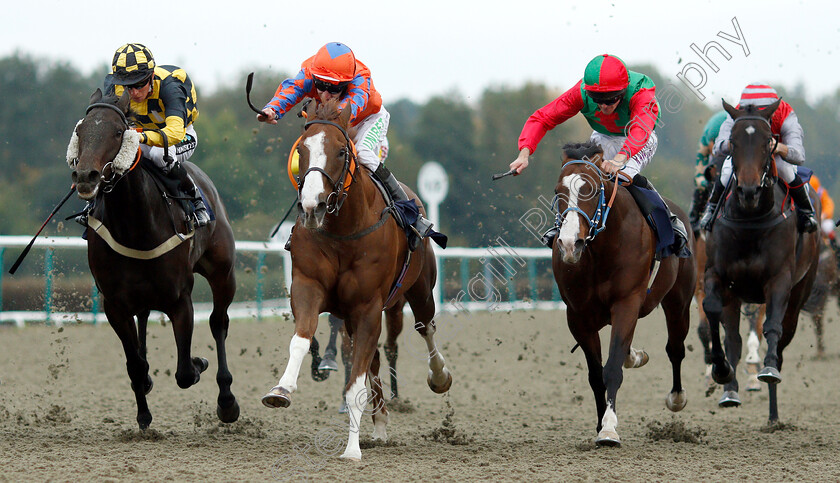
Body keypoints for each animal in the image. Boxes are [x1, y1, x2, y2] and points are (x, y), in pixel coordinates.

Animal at [68, 89, 240, 430]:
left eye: (117, 132)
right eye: (80, 131)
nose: (85, 176)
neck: (135, 225)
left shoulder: (180, 299)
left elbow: (185, 371)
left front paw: (199, 362)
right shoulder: (115, 305)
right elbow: (134, 364)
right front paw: (143, 412)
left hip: (223, 272)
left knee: (219, 322)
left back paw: (227, 400)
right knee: (144, 319)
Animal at [260, 100, 452, 464]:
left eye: (339, 151)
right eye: (301, 151)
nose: (312, 206)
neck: (343, 231)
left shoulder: (368, 307)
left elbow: (355, 385)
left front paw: (351, 450)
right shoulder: (308, 288)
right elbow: (301, 340)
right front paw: (281, 389)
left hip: (419, 290)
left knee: (426, 328)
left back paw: (439, 376)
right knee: (373, 360)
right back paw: (380, 424)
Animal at [552, 142, 696, 448]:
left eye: (592, 189)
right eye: (559, 191)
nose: (570, 244)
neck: (601, 250)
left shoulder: (627, 302)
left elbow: (612, 368)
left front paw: (609, 429)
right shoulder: (578, 316)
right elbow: (596, 375)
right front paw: (600, 424)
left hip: (678, 301)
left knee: (675, 347)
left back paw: (676, 397)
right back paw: (635, 355)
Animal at [704, 99, 820, 424]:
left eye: (769, 141)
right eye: (732, 141)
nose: (748, 190)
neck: (750, 219)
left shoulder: (779, 280)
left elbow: (772, 327)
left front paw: (767, 371)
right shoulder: (718, 277)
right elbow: (714, 315)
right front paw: (721, 372)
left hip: (800, 292)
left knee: (781, 340)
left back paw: (773, 413)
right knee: (733, 338)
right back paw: (730, 391)